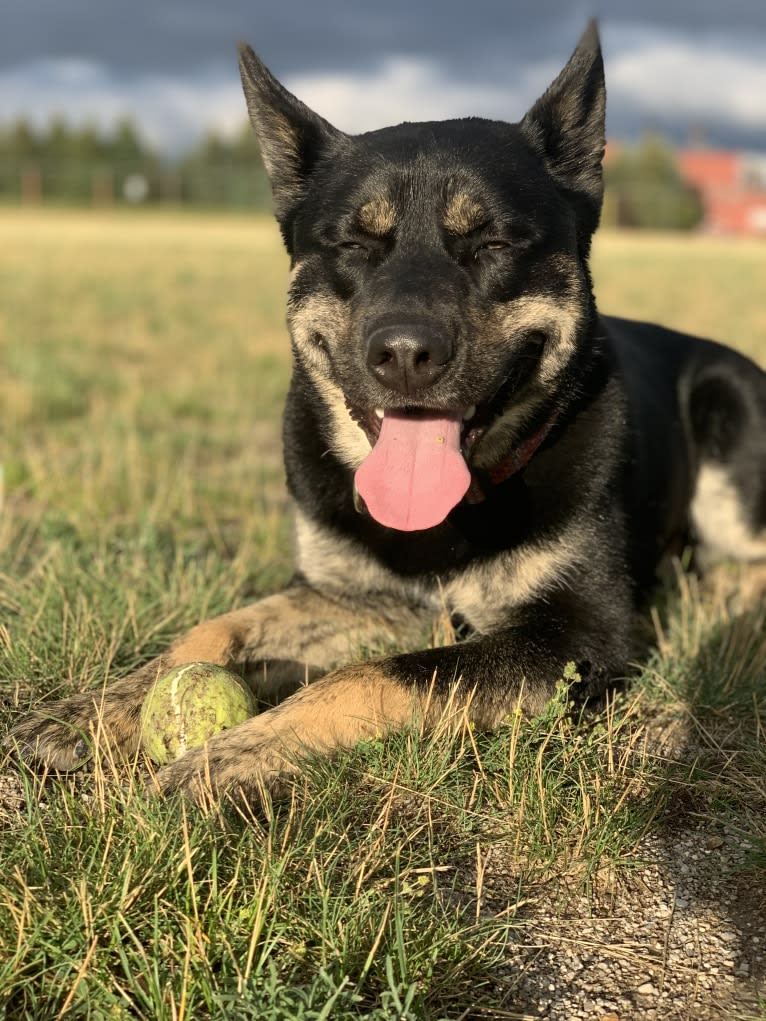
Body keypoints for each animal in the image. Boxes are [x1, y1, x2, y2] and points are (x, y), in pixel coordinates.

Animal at [7, 21, 766, 796]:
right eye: (353, 243)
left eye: (493, 243)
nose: (404, 354)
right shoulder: (353, 597)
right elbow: (214, 631)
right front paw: (99, 708)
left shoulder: (580, 634)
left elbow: (370, 677)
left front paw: (225, 757)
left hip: (727, 414)